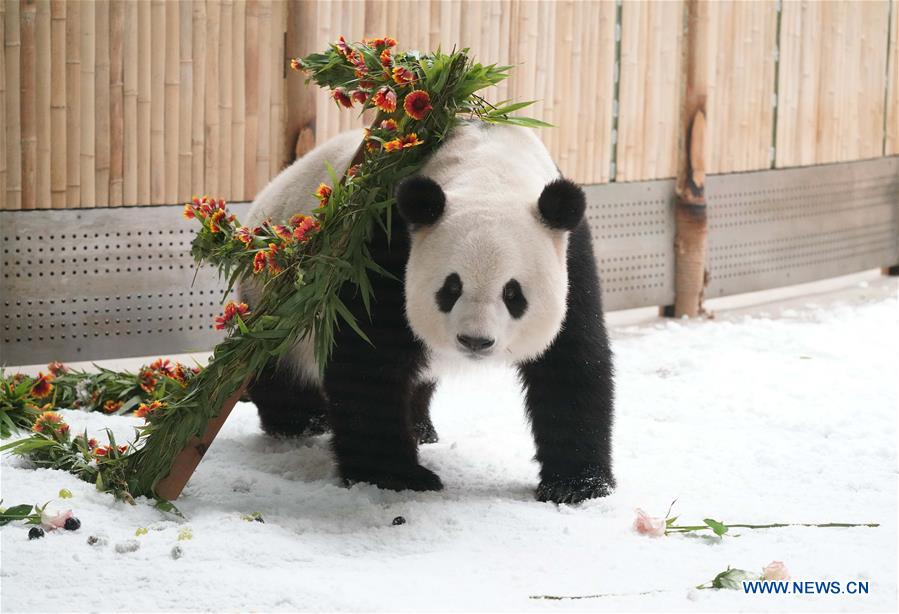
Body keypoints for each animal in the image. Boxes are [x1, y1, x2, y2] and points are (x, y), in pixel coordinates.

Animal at [240, 121, 615, 504]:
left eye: (513, 294)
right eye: (451, 288)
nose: (475, 341)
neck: (489, 171)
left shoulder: (571, 257)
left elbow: (570, 363)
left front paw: (577, 485)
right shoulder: (382, 245)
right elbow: (368, 359)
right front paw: (396, 476)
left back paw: (421, 428)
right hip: (275, 306)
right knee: (274, 362)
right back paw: (301, 420)